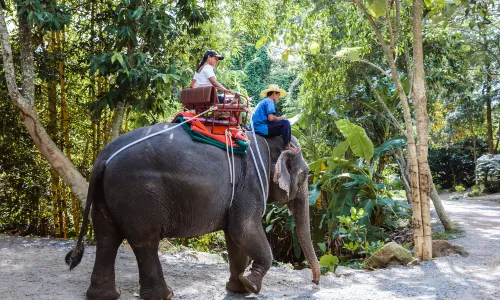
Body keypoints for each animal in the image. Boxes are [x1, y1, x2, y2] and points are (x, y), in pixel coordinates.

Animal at [65, 122, 320, 300]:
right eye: (306, 174)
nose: (315, 283)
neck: (265, 141)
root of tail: (104, 157)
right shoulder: (249, 183)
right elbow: (243, 231)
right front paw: (251, 285)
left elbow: (234, 238)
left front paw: (238, 288)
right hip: (139, 195)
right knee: (144, 242)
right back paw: (164, 295)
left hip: (105, 194)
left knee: (107, 238)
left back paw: (105, 296)